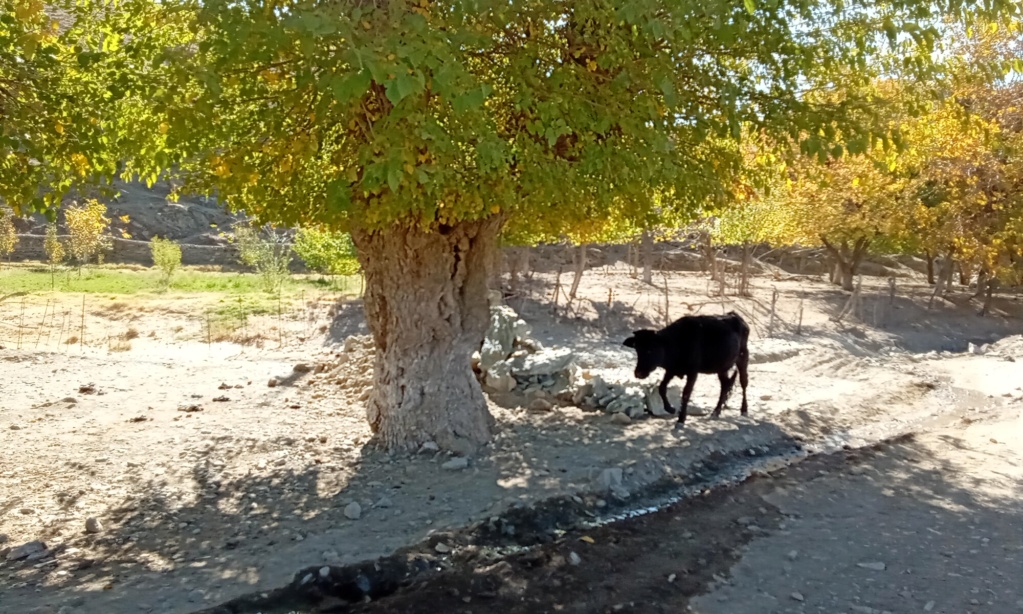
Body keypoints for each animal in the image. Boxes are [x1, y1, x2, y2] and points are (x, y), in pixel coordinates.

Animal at [617, 311, 748, 427]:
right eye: (637, 349)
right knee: (725, 385)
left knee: (743, 382)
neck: (677, 342)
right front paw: (670, 409)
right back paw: (716, 411)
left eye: (651, 349)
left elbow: (685, 394)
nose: (638, 373)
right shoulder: (671, 370)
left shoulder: (693, 372)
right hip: (722, 368)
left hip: (743, 357)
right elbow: (662, 388)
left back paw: (744, 409)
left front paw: (681, 419)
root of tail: (736, 316)